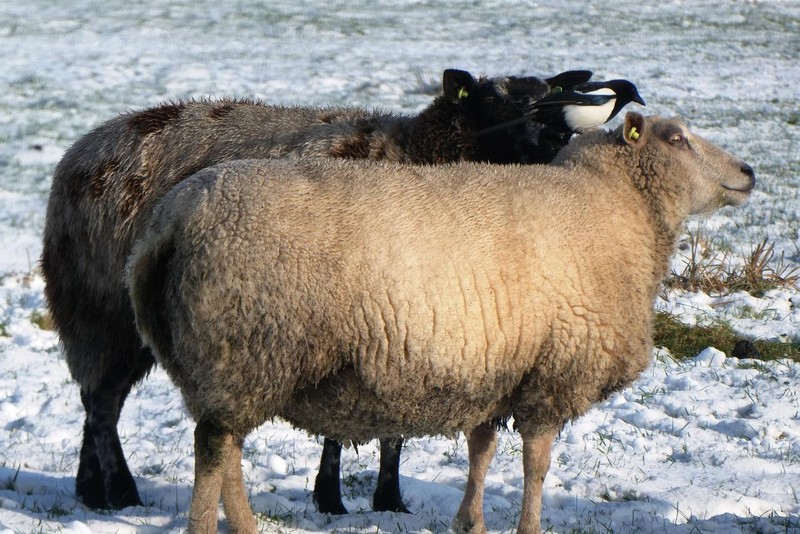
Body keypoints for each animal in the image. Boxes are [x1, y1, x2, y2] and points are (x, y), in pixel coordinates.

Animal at [126, 111, 756, 532]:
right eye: (676, 138)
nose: (749, 172)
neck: (613, 207)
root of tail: (174, 215)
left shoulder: (497, 369)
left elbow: (481, 452)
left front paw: (468, 522)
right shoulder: (551, 374)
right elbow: (537, 465)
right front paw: (528, 525)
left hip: (227, 364)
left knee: (227, 449)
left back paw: (246, 525)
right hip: (247, 346)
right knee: (213, 453)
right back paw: (208, 524)